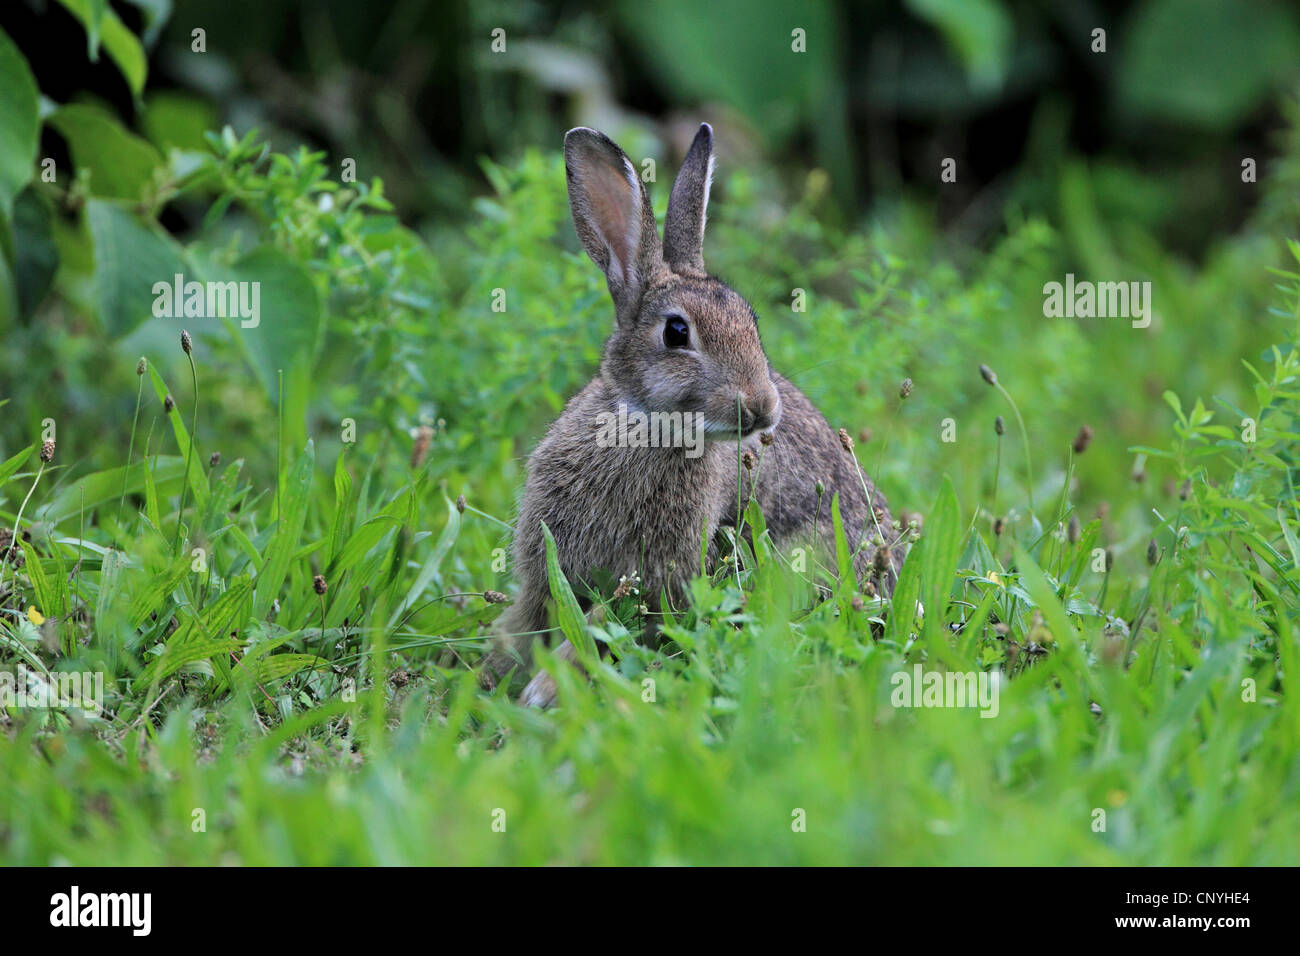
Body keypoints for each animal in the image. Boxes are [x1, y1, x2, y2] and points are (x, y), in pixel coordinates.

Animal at [483, 123, 899, 707]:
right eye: (677, 332)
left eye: (752, 322)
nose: (762, 406)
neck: (647, 429)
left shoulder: (663, 579)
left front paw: (543, 689)